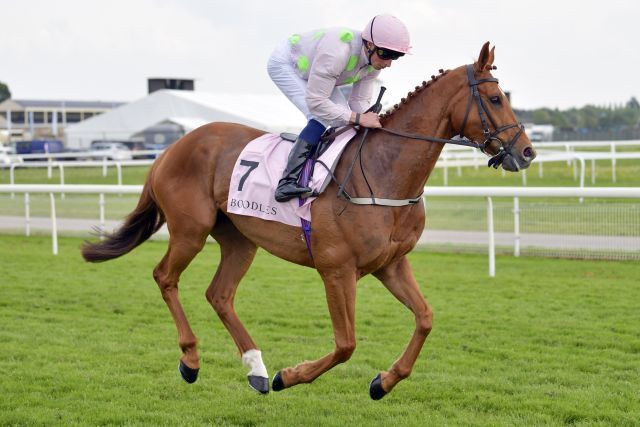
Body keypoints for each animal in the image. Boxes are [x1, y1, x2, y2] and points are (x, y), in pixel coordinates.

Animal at [82, 41, 536, 400]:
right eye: (496, 99)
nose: (527, 152)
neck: (383, 171)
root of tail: (172, 147)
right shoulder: (336, 270)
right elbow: (346, 344)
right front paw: (290, 376)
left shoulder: (390, 264)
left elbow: (425, 319)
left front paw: (383, 381)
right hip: (190, 231)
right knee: (165, 277)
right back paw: (192, 359)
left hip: (240, 239)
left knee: (219, 294)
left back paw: (257, 369)